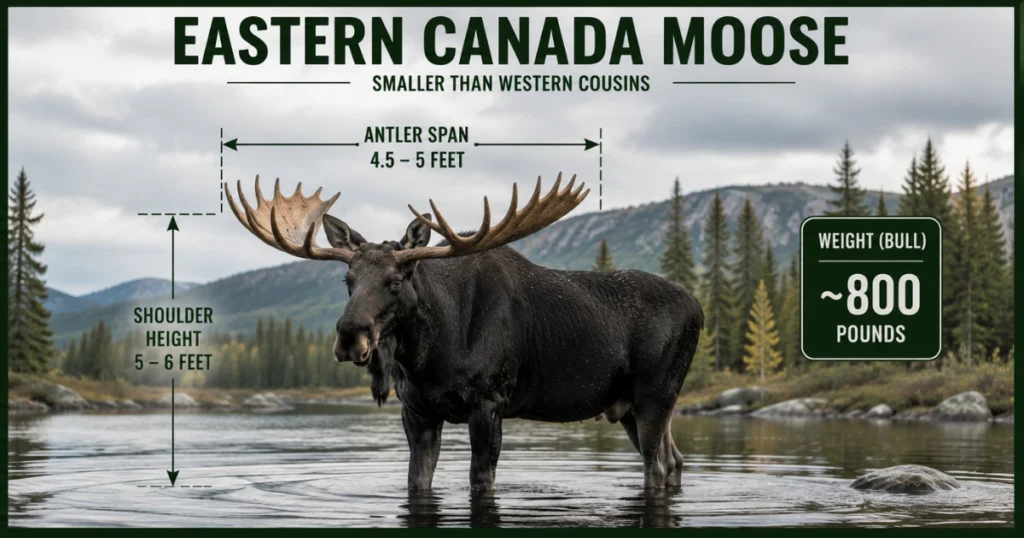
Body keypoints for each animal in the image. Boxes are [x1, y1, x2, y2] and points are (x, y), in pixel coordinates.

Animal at [224, 174, 704, 492]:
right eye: (348, 280)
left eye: (396, 281)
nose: (350, 337)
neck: (429, 357)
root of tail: (699, 308)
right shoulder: (416, 410)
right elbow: (417, 481)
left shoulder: (488, 403)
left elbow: (480, 481)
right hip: (626, 407)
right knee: (675, 458)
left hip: (656, 394)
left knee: (658, 466)